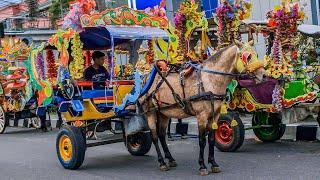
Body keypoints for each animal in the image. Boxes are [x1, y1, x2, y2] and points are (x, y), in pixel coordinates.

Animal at [140, 39, 264, 176]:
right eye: (248, 57)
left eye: (256, 55)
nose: (263, 75)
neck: (210, 80)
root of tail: (146, 77)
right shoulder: (202, 116)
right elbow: (202, 141)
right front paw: (202, 166)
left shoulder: (215, 115)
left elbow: (211, 139)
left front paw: (213, 164)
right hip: (150, 112)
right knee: (155, 136)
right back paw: (162, 162)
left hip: (164, 112)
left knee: (162, 135)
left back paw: (170, 159)